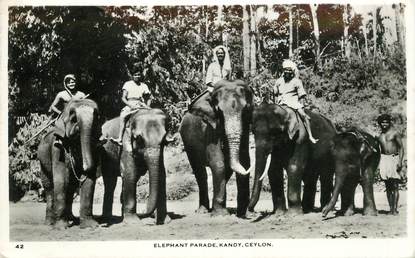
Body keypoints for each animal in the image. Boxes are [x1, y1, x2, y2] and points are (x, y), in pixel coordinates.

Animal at [180, 79, 255, 217]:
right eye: (218, 111)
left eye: (246, 109)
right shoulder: (211, 127)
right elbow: (218, 162)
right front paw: (221, 215)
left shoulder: (246, 126)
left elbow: (244, 160)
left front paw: (244, 214)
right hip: (187, 141)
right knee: (200, 172)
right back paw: (203, 211)